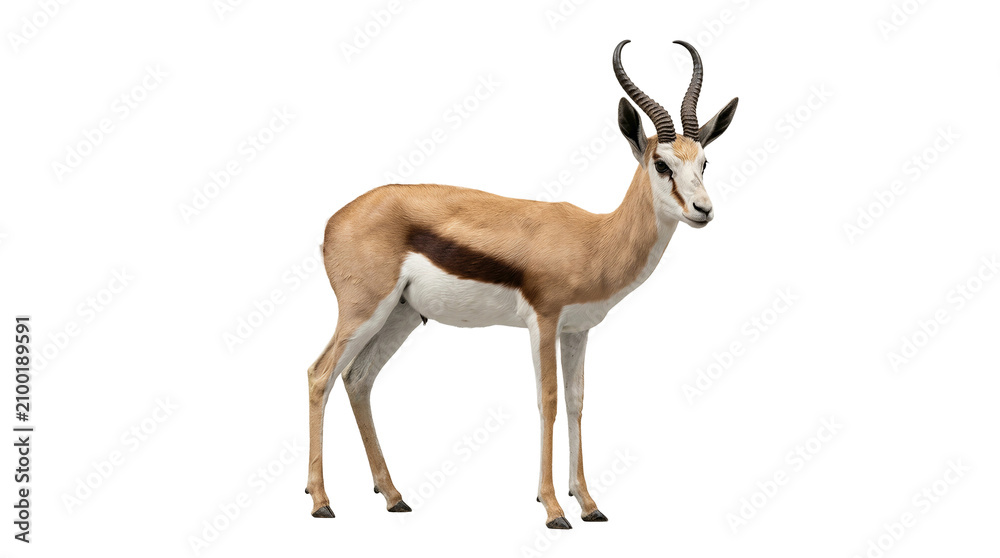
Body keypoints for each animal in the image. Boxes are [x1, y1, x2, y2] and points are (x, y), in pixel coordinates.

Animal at [305, 39, 739, 529]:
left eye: (704, 161)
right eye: (661, 164)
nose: (703, 209)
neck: (594, 239)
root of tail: (334, 221)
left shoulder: (577, 331)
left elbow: (576, 401)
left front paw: (588, 503)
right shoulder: (543, 322)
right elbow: (547, 401)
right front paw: (552, 509)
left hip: (400, 316)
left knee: (358, 379)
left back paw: (394, 495)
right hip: (363, 311)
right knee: (320, 374)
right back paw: (321, 501)